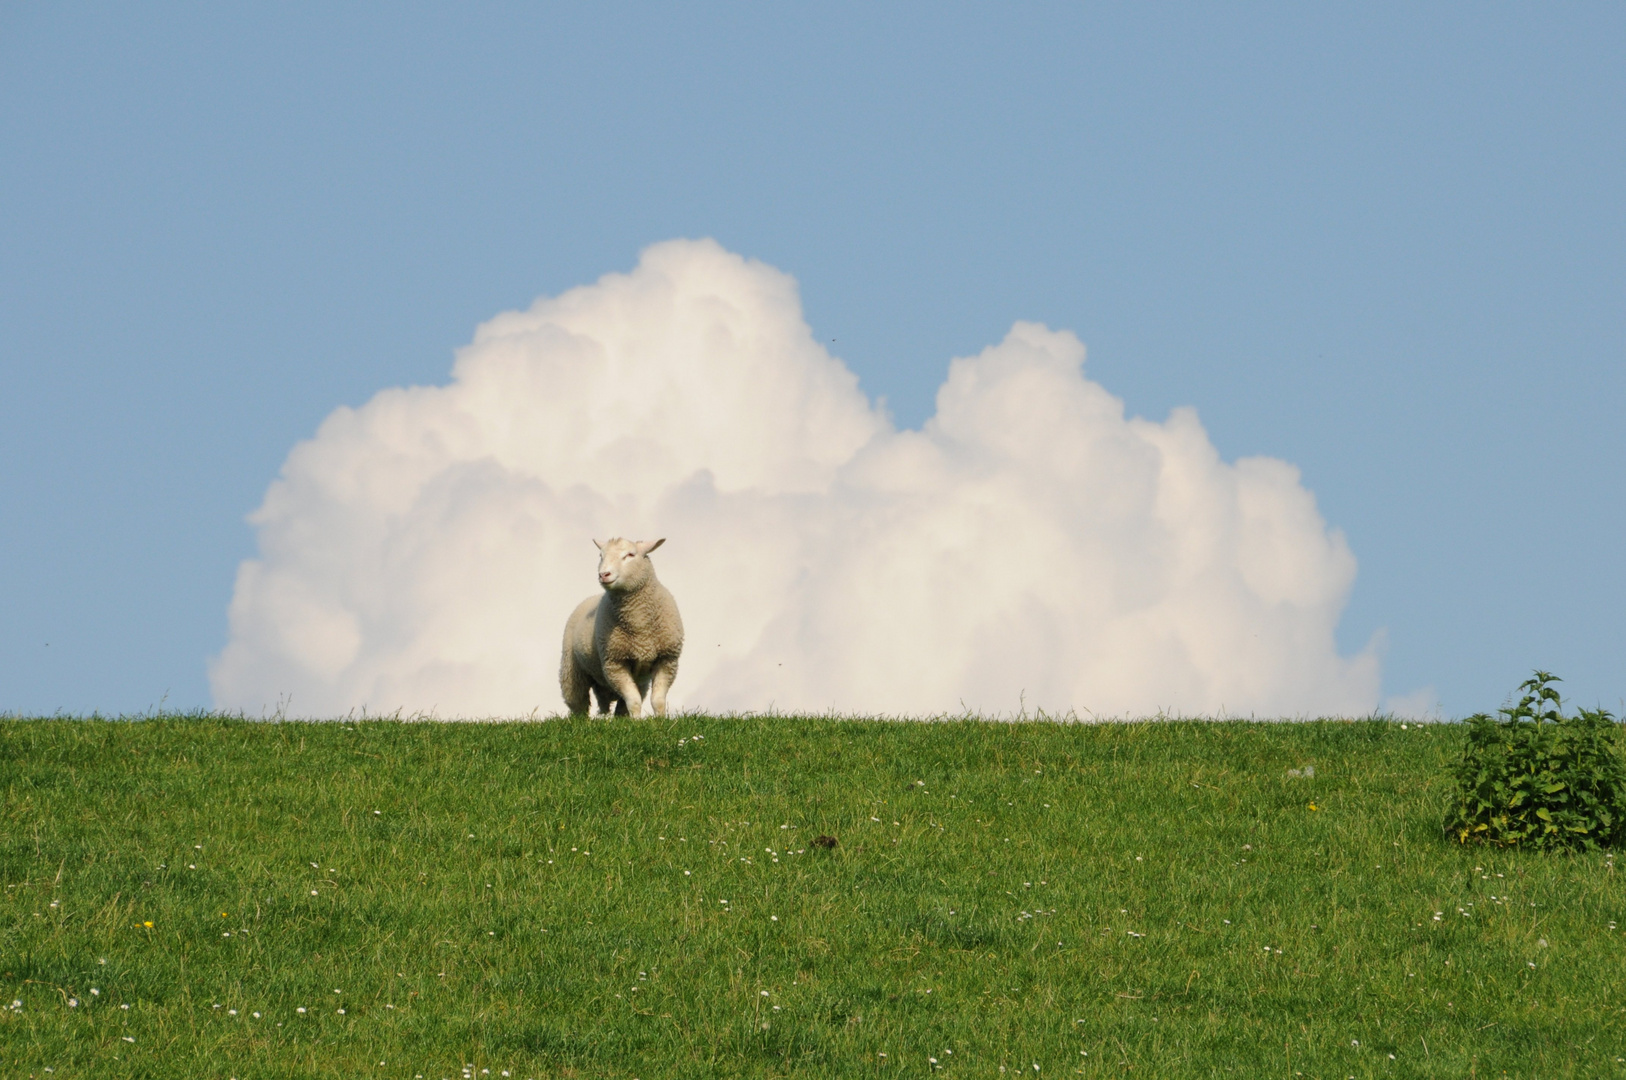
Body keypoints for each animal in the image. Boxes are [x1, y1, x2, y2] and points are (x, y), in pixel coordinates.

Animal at [562, 536, 682, 715]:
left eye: (630, 555)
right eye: (601, 555)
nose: (604, 574)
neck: (640, 626)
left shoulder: (667, 659)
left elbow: (658, 701)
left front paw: (660, 719)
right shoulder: (615, 664)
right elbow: (634, 702)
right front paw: (637, 721)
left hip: (638, 680)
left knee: (618, 707)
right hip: (572, 672)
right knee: (578, 704)